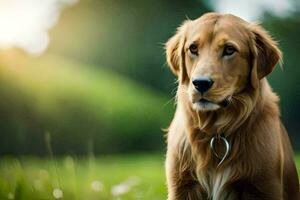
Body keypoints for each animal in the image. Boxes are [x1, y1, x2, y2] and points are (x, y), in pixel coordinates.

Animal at [165, 12, 298, 200]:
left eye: (229, 49)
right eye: (193, 48)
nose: (200, 83)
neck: (216, 132)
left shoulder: (263, 186)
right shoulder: (182, 187)